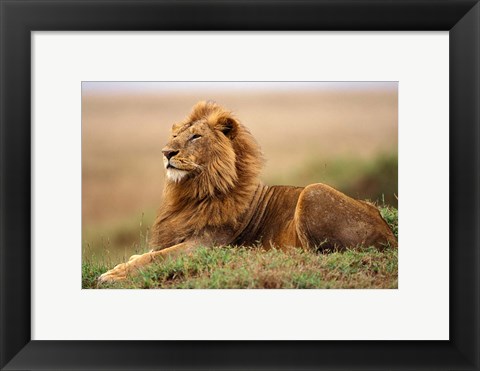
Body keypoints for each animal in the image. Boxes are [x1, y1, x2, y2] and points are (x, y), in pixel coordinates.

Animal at [98, 100, 398, 284]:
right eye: (174, 137)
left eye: (196, 136)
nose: (166, 152)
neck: (192, 191)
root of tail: (389, 233)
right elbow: (144, 255)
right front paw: (120, 266)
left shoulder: (206, 244)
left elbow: (155, 257)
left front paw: (111, 275)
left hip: (314, 191)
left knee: (312, 253)